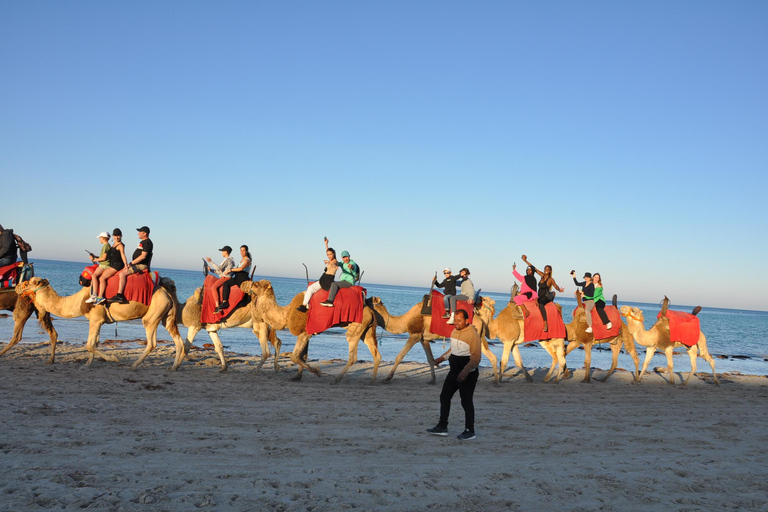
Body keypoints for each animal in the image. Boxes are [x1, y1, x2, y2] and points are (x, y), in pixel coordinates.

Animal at [16, 278, 188, 370]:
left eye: (30, 282)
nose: (17, 287)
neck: (80, 301)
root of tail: (167, 294)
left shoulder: (95, 319)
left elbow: (89, 345)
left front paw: (113, 358)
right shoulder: (98, 321)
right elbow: (95, 343)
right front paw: (87, 364)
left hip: (152, 317)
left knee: (152, 343)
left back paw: (134, 365)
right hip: (166, 317)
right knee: (179, 341)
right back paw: (174, 367)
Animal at [242, 280, 380, 384]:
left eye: (256, 284)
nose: (244, 284)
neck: (286, 314)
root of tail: (370, 311)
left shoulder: (305, 333)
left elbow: (294, 356)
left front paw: (317, 372)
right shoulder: (307, 334)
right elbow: (302, 356)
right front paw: (297, 377)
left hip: (357, 328)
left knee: (353, 355)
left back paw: (336, 379)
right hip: (366, 331)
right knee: (376, 354)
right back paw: (372, 381)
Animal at [368, 296, 500, 384]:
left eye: (369, 301)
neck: (406, 320)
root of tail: (481, 320)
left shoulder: (415, 335)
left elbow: (399, 356)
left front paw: (387, 378)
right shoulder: (424, 339)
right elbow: (430, 359)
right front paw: (432, 380)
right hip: (478, 339)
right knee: (492, 357)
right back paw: (496, 381)